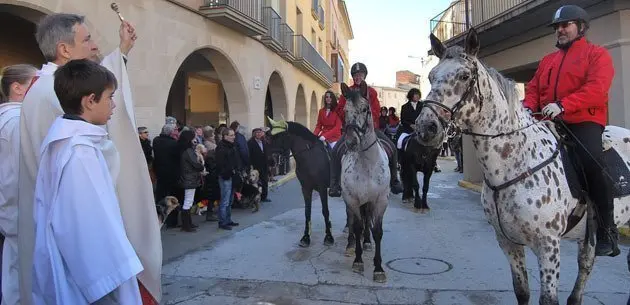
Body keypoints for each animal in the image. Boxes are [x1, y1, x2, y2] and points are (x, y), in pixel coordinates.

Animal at [266, 116, 336, 247]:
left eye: (281, 136)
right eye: (270, 136)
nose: (271, 161)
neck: (310, 156)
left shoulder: (322, 188)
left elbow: (325, 211)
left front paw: (329, 236)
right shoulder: (305, 188)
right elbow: (307, 211)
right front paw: (306, 237)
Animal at [418, 27, 630, 302]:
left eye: (464, 76)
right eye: (431, 76)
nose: (426, 127)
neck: (516, 161)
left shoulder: (548, 246)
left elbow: (548, 298)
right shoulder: (508, 242)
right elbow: (522, 291)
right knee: (586, 263)